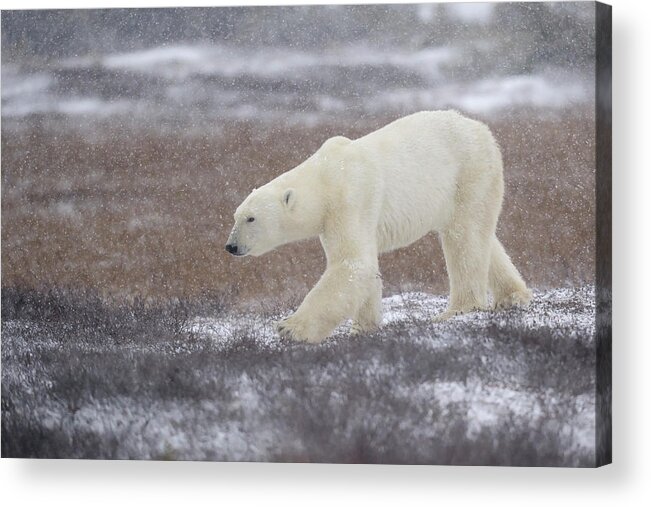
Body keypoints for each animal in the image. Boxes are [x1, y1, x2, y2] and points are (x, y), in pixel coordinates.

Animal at [227, 110, 532, 342]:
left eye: (251, 218)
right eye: (235, 216)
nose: (231, 246)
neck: (325, 175)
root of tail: (481, 128)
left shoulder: (349, 199)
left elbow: (353, 263)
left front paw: (289, 328)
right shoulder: (333, 219)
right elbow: (364, 267)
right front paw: (364, 327)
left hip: (470, 172)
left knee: (464, 237)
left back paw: (458, 309)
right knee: (480, 236)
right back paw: (512, 296)